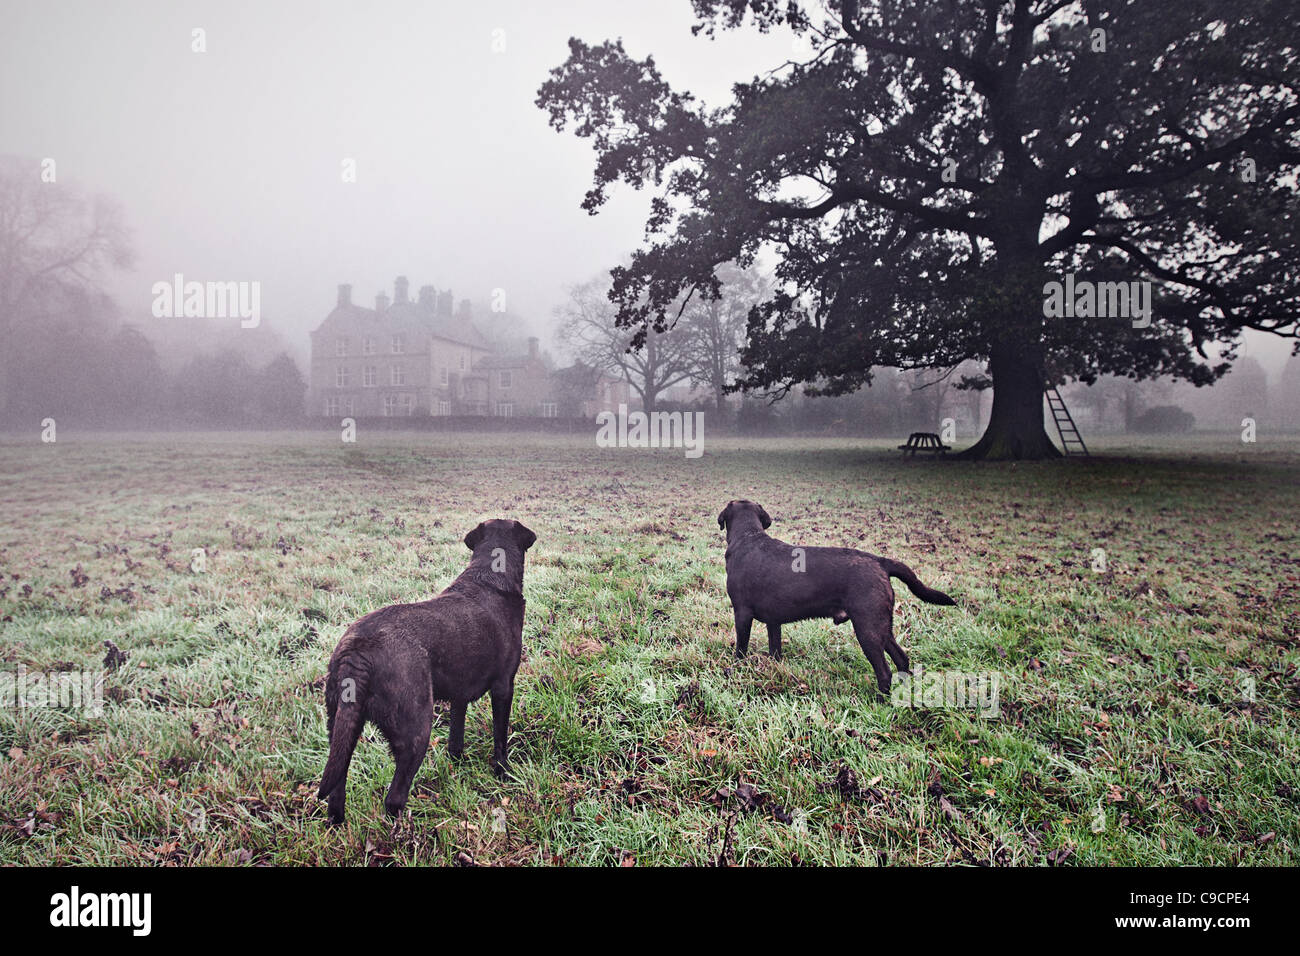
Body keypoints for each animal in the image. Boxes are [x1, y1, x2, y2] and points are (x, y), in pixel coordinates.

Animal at [317, 520, 535, 827]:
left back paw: (338, 824)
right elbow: (500, 737)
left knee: (337, 788)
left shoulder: (459, 693)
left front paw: (457, 764)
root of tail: (357, 652)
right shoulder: (504, 685)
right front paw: (503, 773)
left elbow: (456, 735)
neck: (489, 578)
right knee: (394, 798)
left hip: (340, 726)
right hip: (416, 729)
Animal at [722, 502, 956, 697]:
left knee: (884, 671)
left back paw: (880, 702)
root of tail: (880, 561)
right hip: (882, 627)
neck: (748, 537)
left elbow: (741, 648)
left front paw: (735, 670)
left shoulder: (742, 613)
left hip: (867, 629)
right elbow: (775, 650)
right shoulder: (774, 622)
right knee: (902, 659)